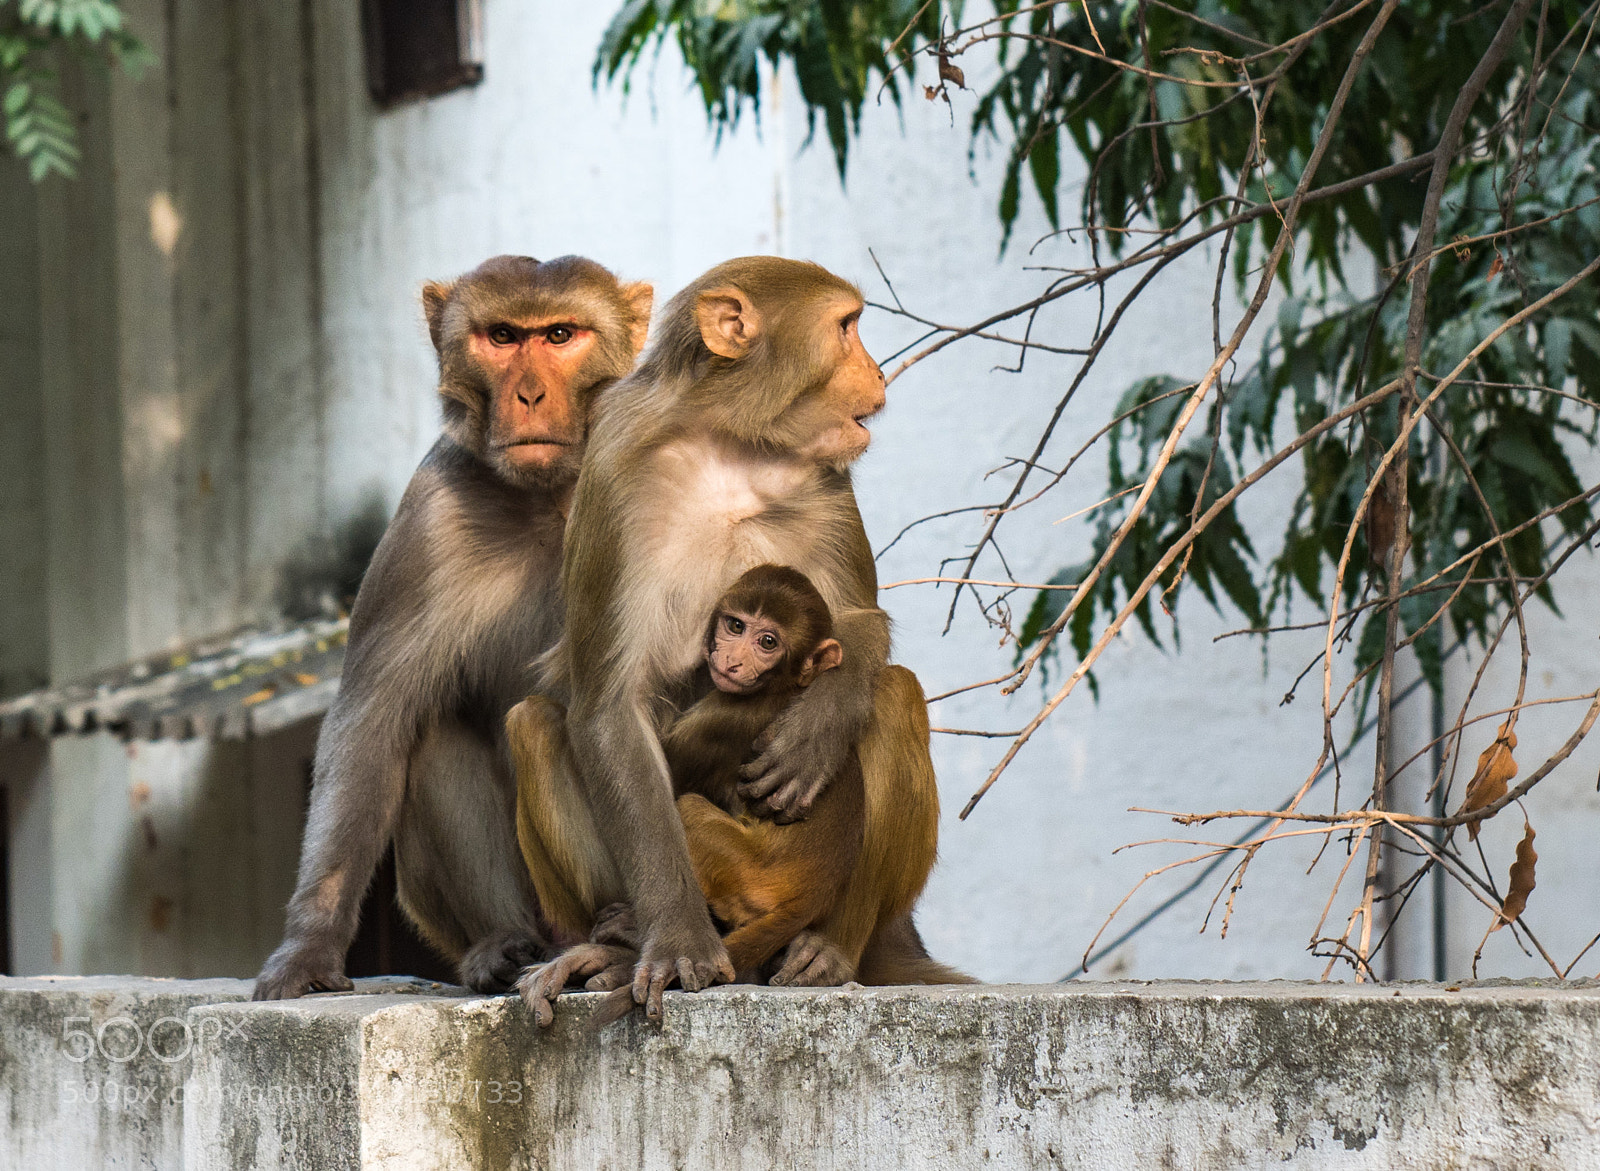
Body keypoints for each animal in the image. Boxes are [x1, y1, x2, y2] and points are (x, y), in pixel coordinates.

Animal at [252, 255, 653, 1000]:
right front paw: (309, 943)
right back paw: (501, 945)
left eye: (560, 335)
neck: (551, 498)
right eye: (501, 336)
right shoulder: (427, 520)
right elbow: (371, 721)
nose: (528, 393)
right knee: (431, 735)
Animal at [508, 257, 971, 1026]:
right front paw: (677, 938)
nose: (877, 370)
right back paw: (613, 946)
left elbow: (859, 623)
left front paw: (816, 725)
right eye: (847, 328)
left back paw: (830, 949)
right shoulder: (614, 469)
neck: (730, 442)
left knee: (894, 692)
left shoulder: (826, 478)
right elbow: (610, 705)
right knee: (535, 723)